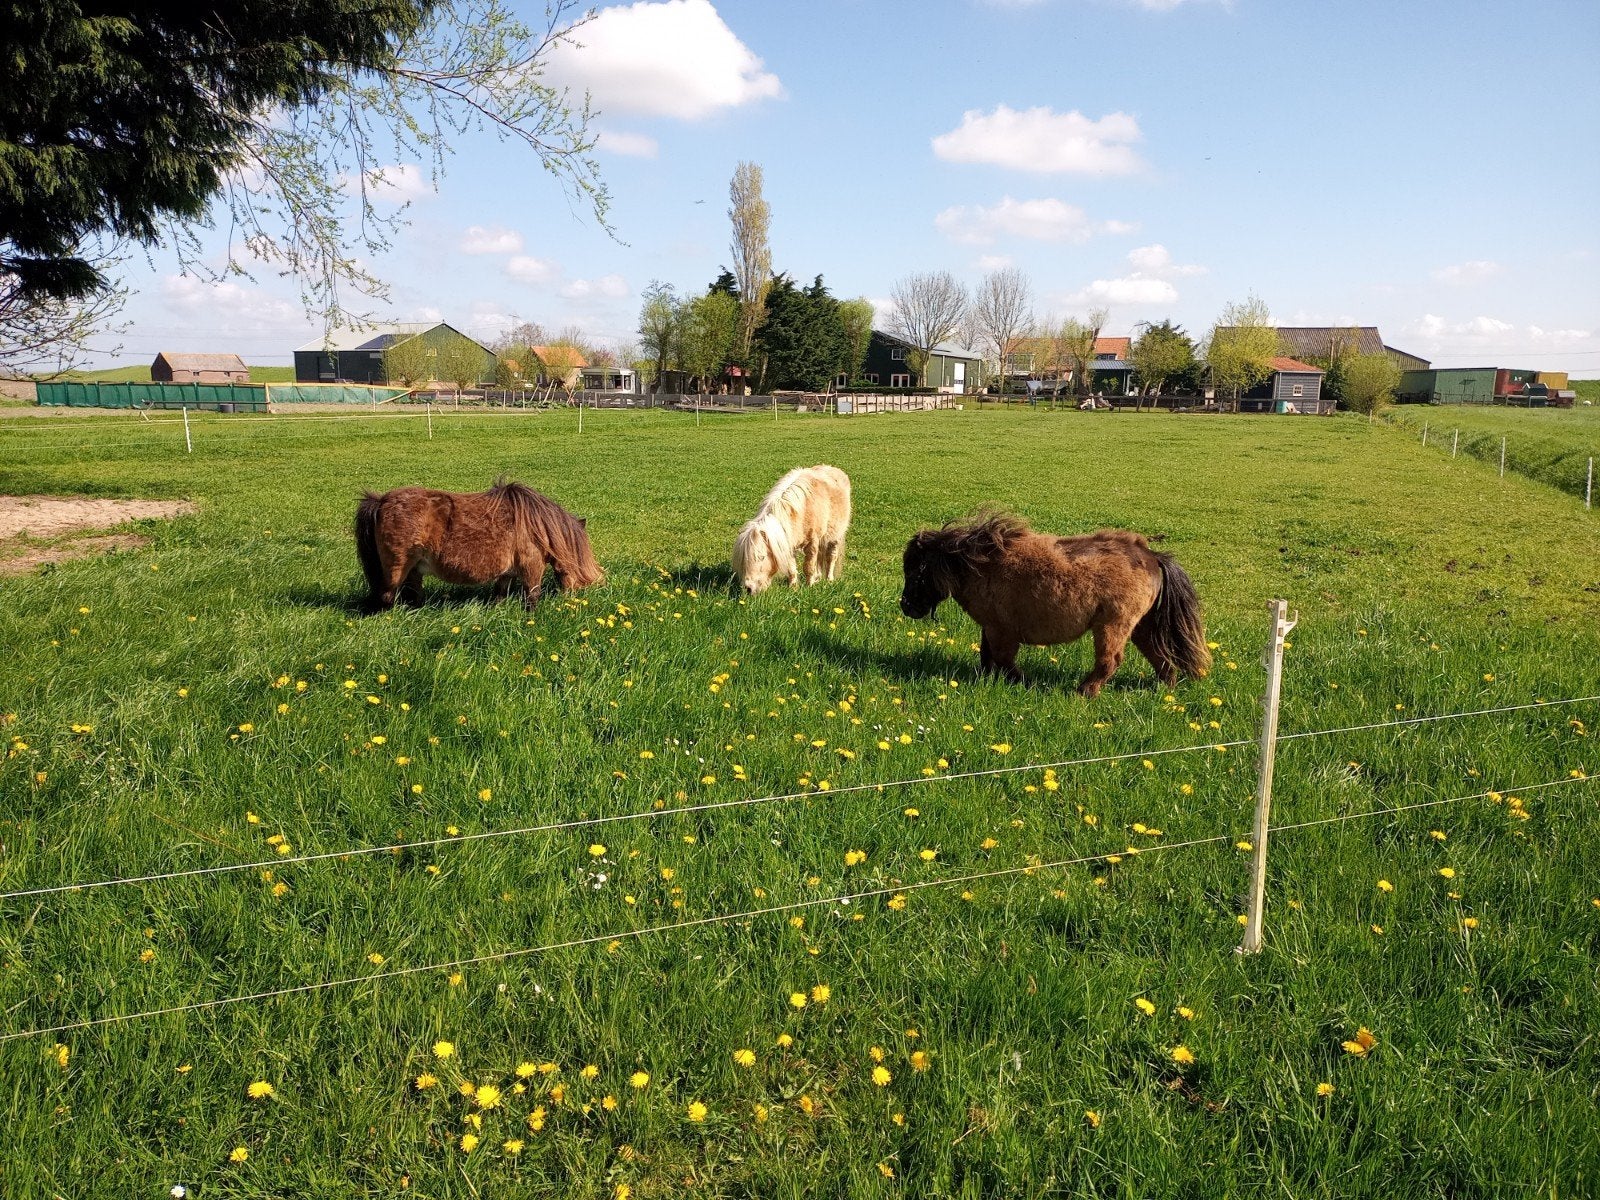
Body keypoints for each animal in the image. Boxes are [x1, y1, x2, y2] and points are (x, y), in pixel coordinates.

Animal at [354, 479, 603, 611]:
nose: (576, 599)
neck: (537, 526)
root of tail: (381, 501)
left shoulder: (506, 573)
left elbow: (500, 595)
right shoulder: (532, 568)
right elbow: (532, 597)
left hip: (414, 570)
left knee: (413, 594)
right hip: (397, 569)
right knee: (387, 597)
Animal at [731, 464, 852, 594]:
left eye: (761, 557)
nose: (748, 589)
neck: (802, 512)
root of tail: (834, 469)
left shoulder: (812, 542)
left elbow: (809, 567)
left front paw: (809, 587)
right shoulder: (788, 543)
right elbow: (792, 569)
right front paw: (793, 588)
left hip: (835, 537)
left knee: (831, 558)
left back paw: (829, 580)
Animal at [899, 510, 1210, 697]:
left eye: (914, 571)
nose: (906, 606)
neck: (980, 565)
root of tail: (1152, 556)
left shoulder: (1002, 631)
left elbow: (1003, 659)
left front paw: (1025, 682)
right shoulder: (991, 627)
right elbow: (987, 657)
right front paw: (986, 680)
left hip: (1113, 626)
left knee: (1110, 661)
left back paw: (1084, 691)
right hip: (1141, 628)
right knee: (1161, 658)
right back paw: (1164, 689)